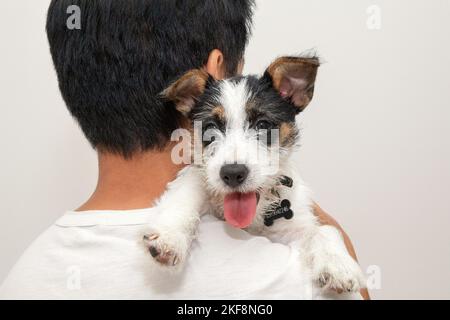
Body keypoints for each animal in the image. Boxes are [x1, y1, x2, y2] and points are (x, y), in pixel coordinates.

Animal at [144, 54, 366, 292]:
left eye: (263, 124)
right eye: (210, 127)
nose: (232, 173)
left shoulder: (291, 227)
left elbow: (322, 230)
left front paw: (337, 264)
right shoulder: (199, 176)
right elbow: (191, 184)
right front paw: (170, 236)